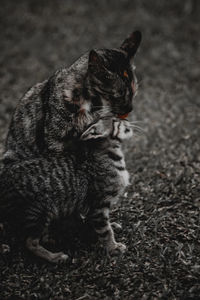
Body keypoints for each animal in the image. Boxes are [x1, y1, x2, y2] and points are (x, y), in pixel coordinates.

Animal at [0, 117, 134, 262]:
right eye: (116, 121)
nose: (127, 120)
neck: (109, 155)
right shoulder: (98, 204)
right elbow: (105, 230)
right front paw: (113, 247)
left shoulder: (92, 207)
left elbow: (97, 223)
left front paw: (103, 229)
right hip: (40, 211)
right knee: (30, 242)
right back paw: (54, 256)